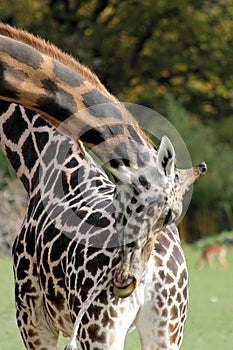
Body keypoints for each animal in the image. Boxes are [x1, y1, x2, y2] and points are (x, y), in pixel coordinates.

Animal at [0, 23, 206, 348]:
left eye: (170, 216)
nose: (125, 281)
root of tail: (157, 270)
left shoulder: (31, 317)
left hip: (97, 328)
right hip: (166, 327)